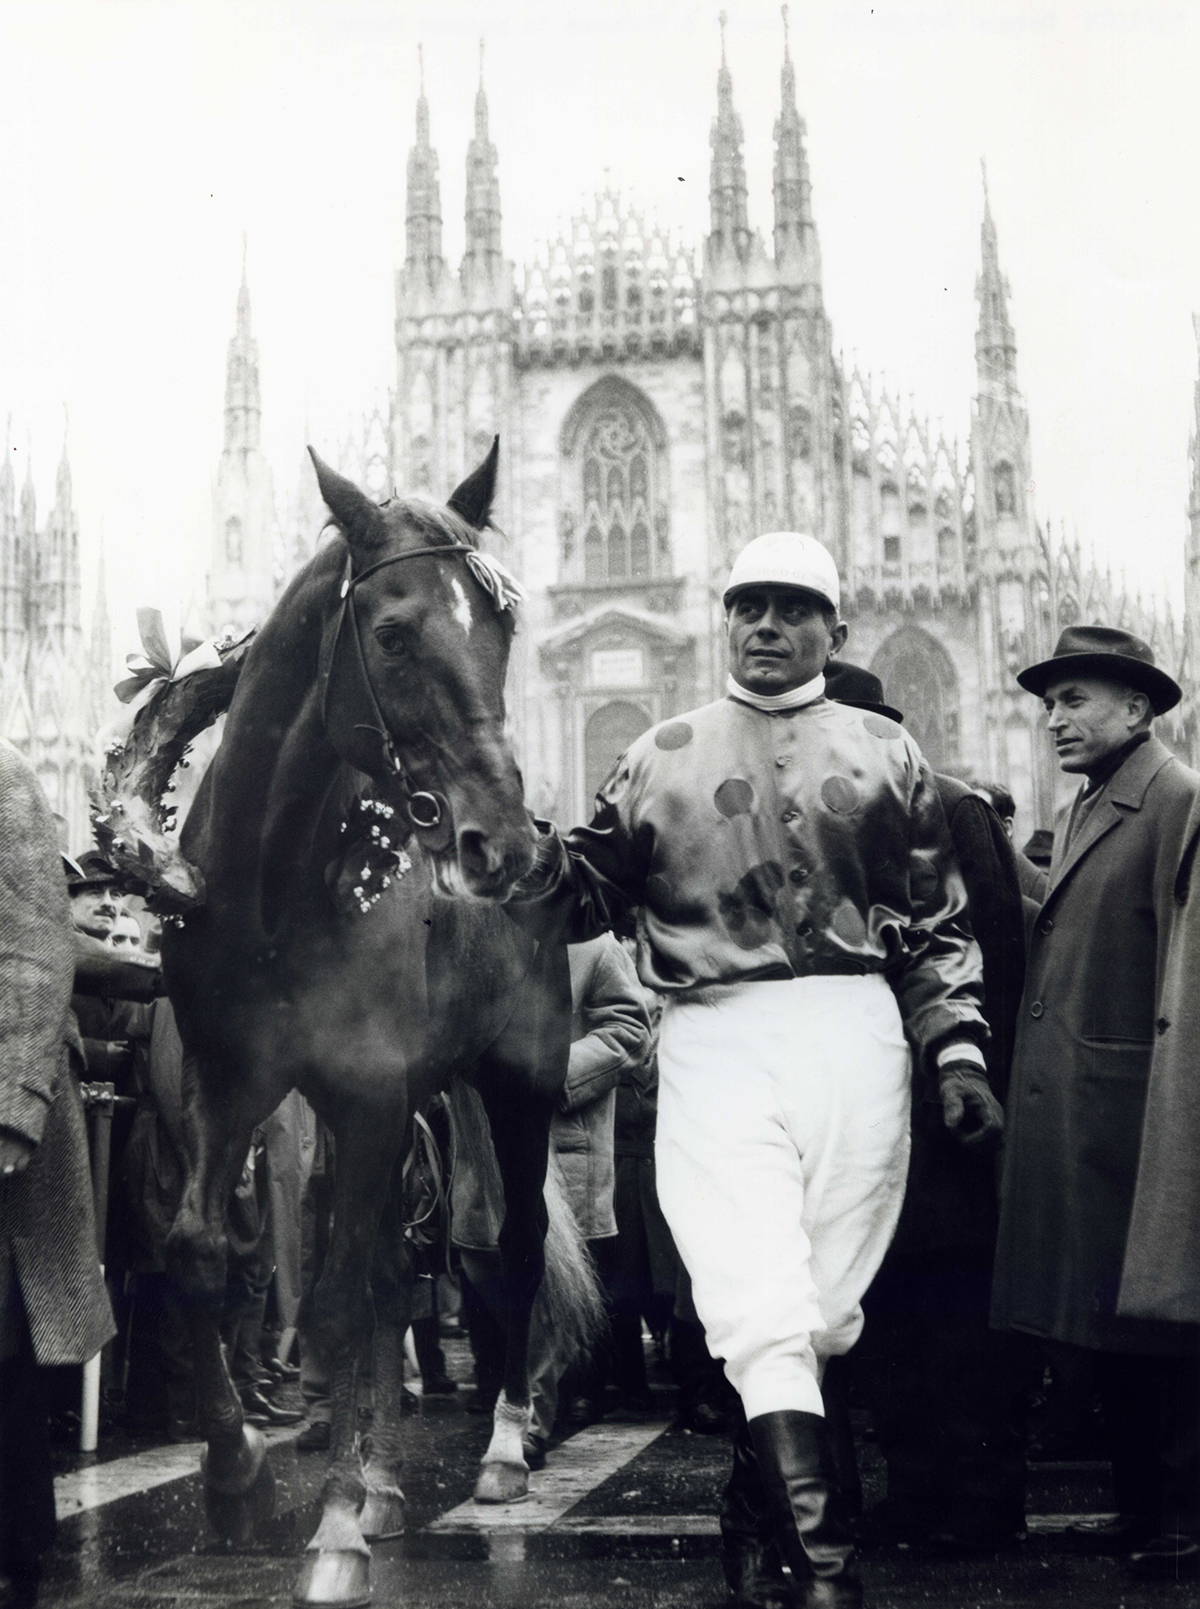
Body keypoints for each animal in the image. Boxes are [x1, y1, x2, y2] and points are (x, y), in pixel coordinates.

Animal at [155, 444, 575, 1609]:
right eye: (392, 633)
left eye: (502, 626)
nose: (503, 845)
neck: (277, 878)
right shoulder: (229, 1080)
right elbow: (202, 1252)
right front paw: (237, 1469)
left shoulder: (375, 1088)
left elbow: (342, 1295)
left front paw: (337, 1524)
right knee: (396, 1266)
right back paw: (386, 1476)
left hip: (515, 1083)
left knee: (512, 1247)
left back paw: (501, 1449)